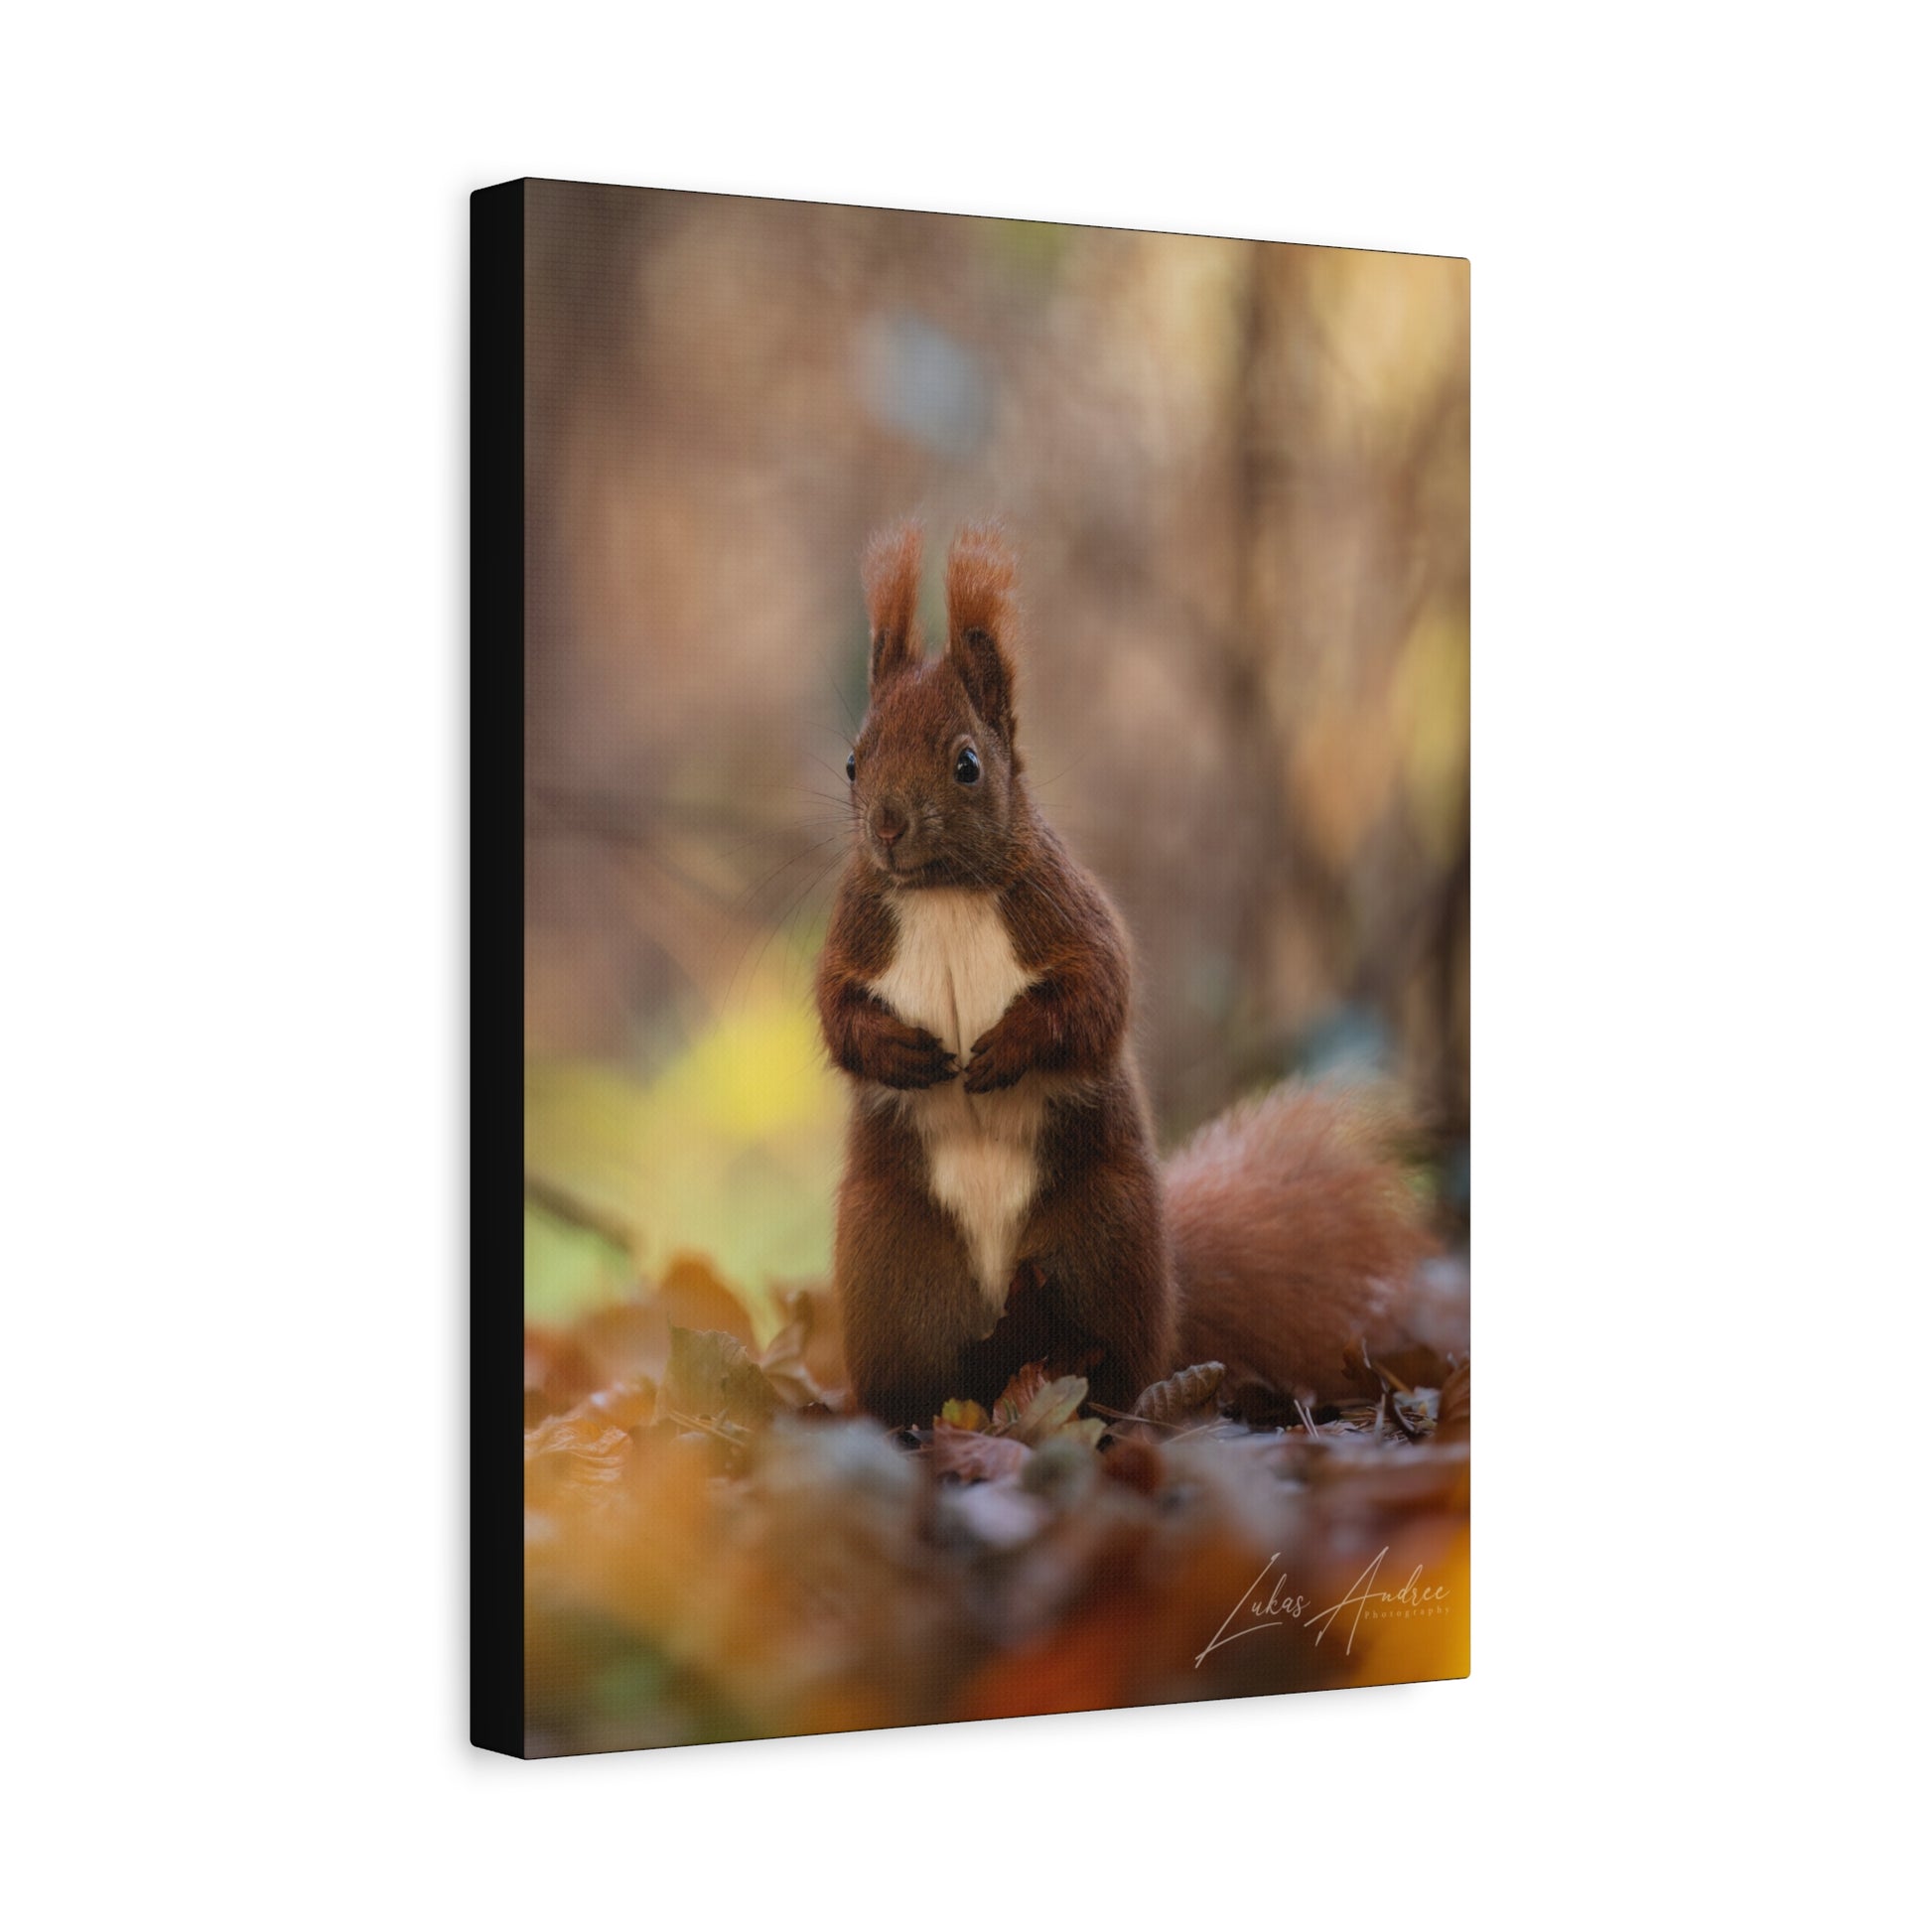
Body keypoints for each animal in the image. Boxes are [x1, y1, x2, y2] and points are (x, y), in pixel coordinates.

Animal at [816, 520, 1436, 1427]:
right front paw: (902, 1052)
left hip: (1103, 1249)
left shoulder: (1070, 917)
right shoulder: (857, 931)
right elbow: (837, 1014)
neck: (943, 894)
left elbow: (1099, 1000)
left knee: (1110, 1362)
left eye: (967, 764)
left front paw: (1008, 1049)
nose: (887, 828)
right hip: (889, 1267)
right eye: (854, 764)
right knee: (920, 1379)